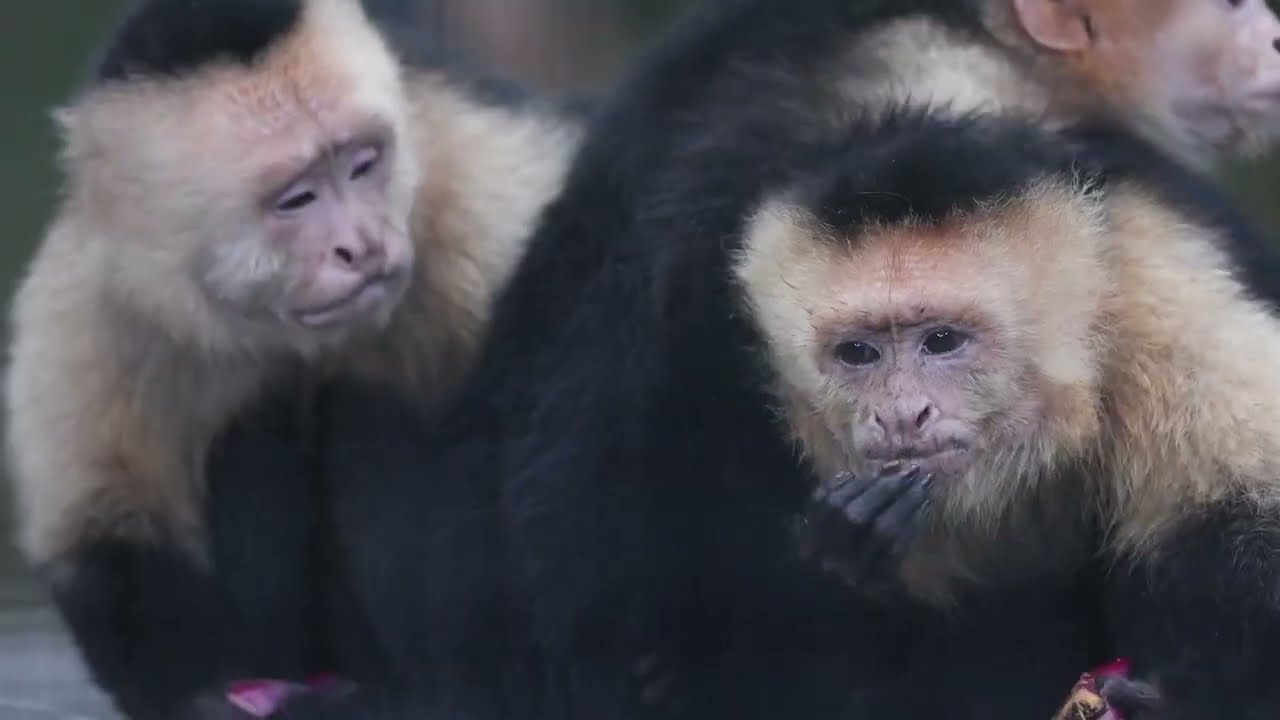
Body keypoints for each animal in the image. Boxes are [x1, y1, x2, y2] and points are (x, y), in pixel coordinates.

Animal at [1, 1, 584, 718]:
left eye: (362, 164)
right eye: (297, 199)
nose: (361, 246)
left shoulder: (489, 206)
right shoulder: (100, 288)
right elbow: (101, 529)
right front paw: (203, 693)